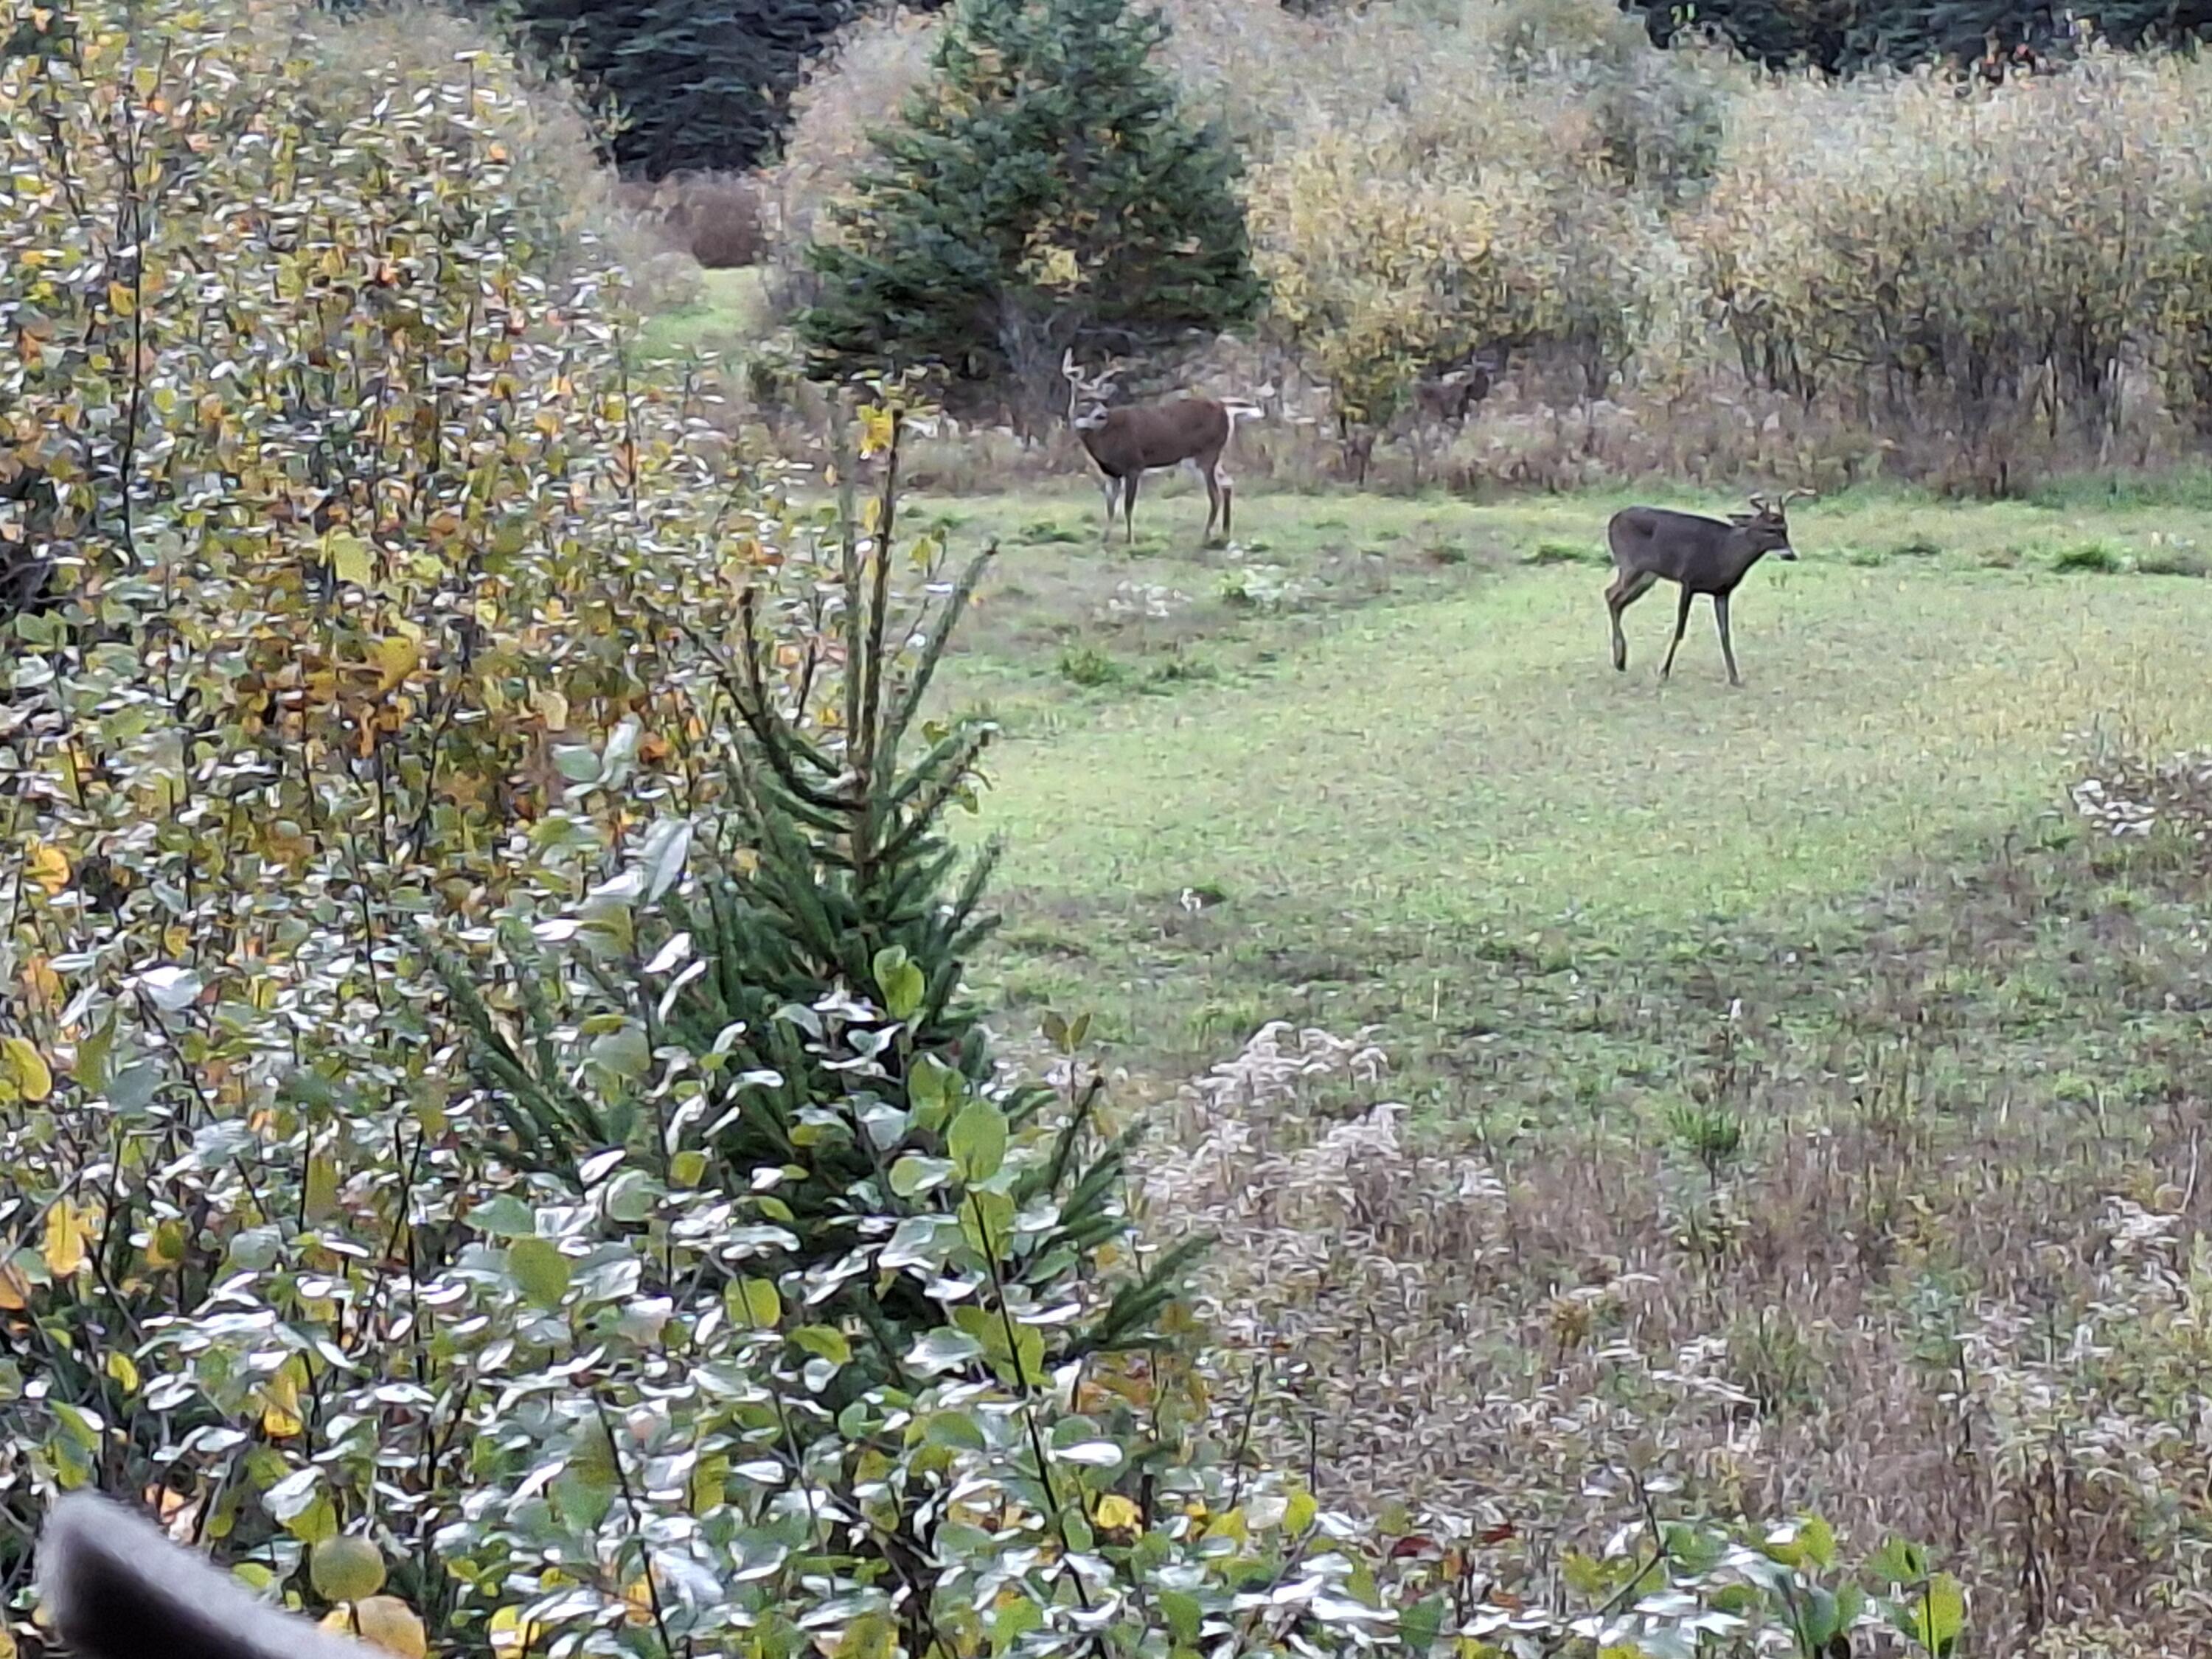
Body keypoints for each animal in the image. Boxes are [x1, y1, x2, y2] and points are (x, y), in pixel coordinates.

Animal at [1061, 351, 1250, 546]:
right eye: (1085, 400)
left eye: (1101, 400)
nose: (1103, 414)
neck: (1104, 439)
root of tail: (1224, 408)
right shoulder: (1111, 474)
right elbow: (1110, 507)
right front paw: (1105, 538)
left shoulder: (1134, 465)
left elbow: (1128, 506)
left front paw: (1130, 540)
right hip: (1201, 459)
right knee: (1227, 483)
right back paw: (1225, 534)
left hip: (1207, 454)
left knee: (1215, 494)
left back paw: (1205, 537)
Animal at [1605, 489, 1813, 686]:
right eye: (1769, 529)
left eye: (1785, 529)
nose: (1791, 554)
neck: (1725, 555)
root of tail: (1613, 520)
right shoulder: (1688, 581)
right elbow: (1680, 630)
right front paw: (1664, 672)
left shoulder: (1722, 591)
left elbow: (1725, 634)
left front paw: (1735, 678)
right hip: (1630, 565)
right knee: (1611, 594)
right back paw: (1620, 659)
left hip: (1648, 575)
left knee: (1616, 599)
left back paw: (1620, 661)